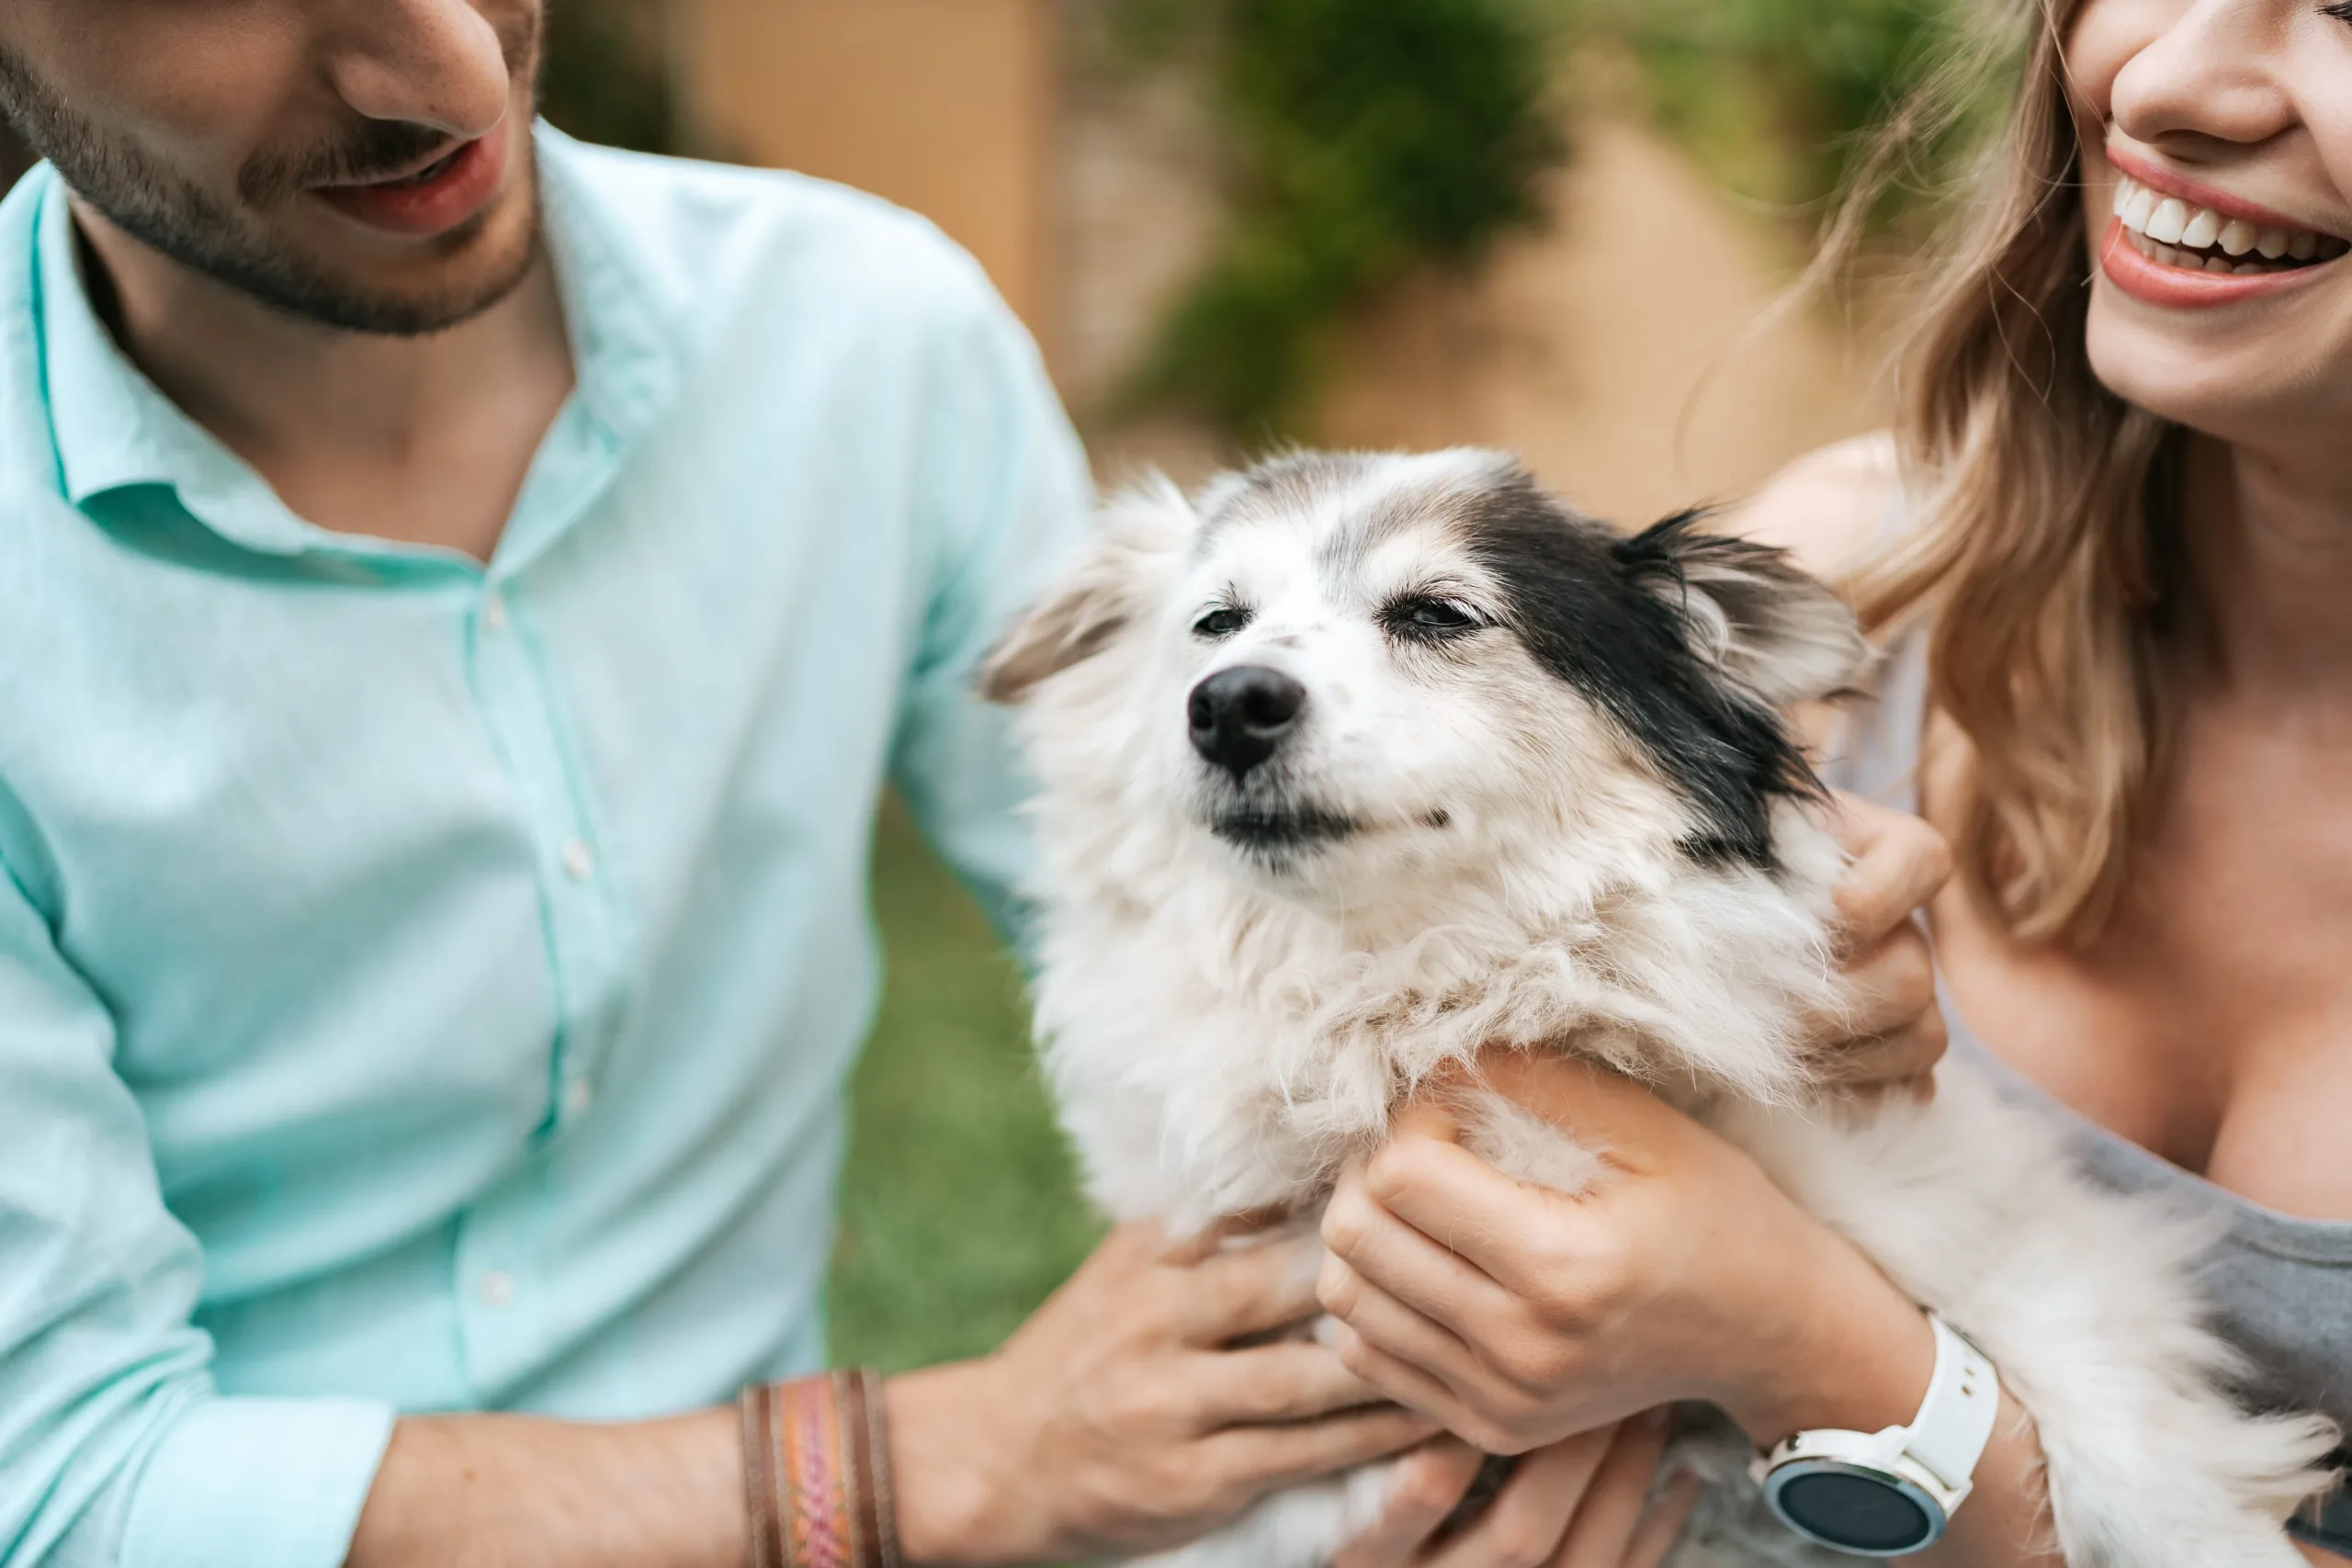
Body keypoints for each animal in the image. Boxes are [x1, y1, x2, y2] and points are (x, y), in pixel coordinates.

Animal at [973, 446, 2333, 1561]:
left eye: (1437, 615)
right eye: (1214, 624)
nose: (1228, 703)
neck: (1418, 996)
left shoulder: (2012, 1230)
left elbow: (2121, 1438)